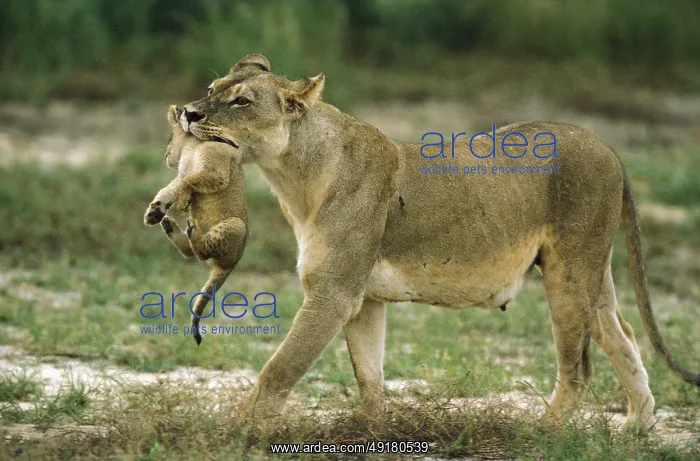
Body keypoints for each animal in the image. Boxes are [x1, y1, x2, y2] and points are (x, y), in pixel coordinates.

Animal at [144, 105, 248, 345]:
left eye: (169, 138)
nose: (165, 157)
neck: (192, 148)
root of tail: (233, 264)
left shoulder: (216, 173)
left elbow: (188, 181)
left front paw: (183, 204)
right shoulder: (183, 173)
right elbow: (169, 190)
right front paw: (154, 213)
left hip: (236, 225)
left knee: (201, 253)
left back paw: (192, 232)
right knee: (190, 253)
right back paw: (170, 226)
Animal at [178, 54, 699, 431]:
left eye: (242, 102)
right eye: (212, 89)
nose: (187, 113)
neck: (295, 178)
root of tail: (609, 147)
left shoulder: (334, 293)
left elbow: (280, 367)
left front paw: (236, 431)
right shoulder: (364, 299)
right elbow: (369, 375)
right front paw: (371, 431)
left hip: (569, 271)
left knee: (578, 368)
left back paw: (541, 434)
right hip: (593, 270)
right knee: (621, 334)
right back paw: (636, 429)